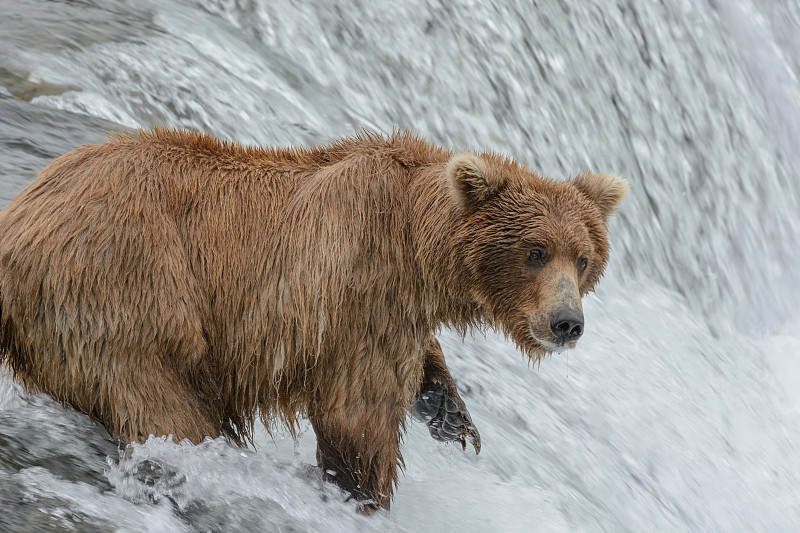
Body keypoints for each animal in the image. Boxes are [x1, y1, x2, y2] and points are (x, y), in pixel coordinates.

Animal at [0, 128, 624, 508]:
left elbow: (422, 368)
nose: (567, 322)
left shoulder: (397, 308)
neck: (418, 246)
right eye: (535, 251)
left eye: (583, 256)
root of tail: (20, 213)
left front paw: (455, 419)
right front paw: (363, 496)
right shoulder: (360, 293)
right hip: (123, 293)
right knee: (168, 410)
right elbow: (357, 417)